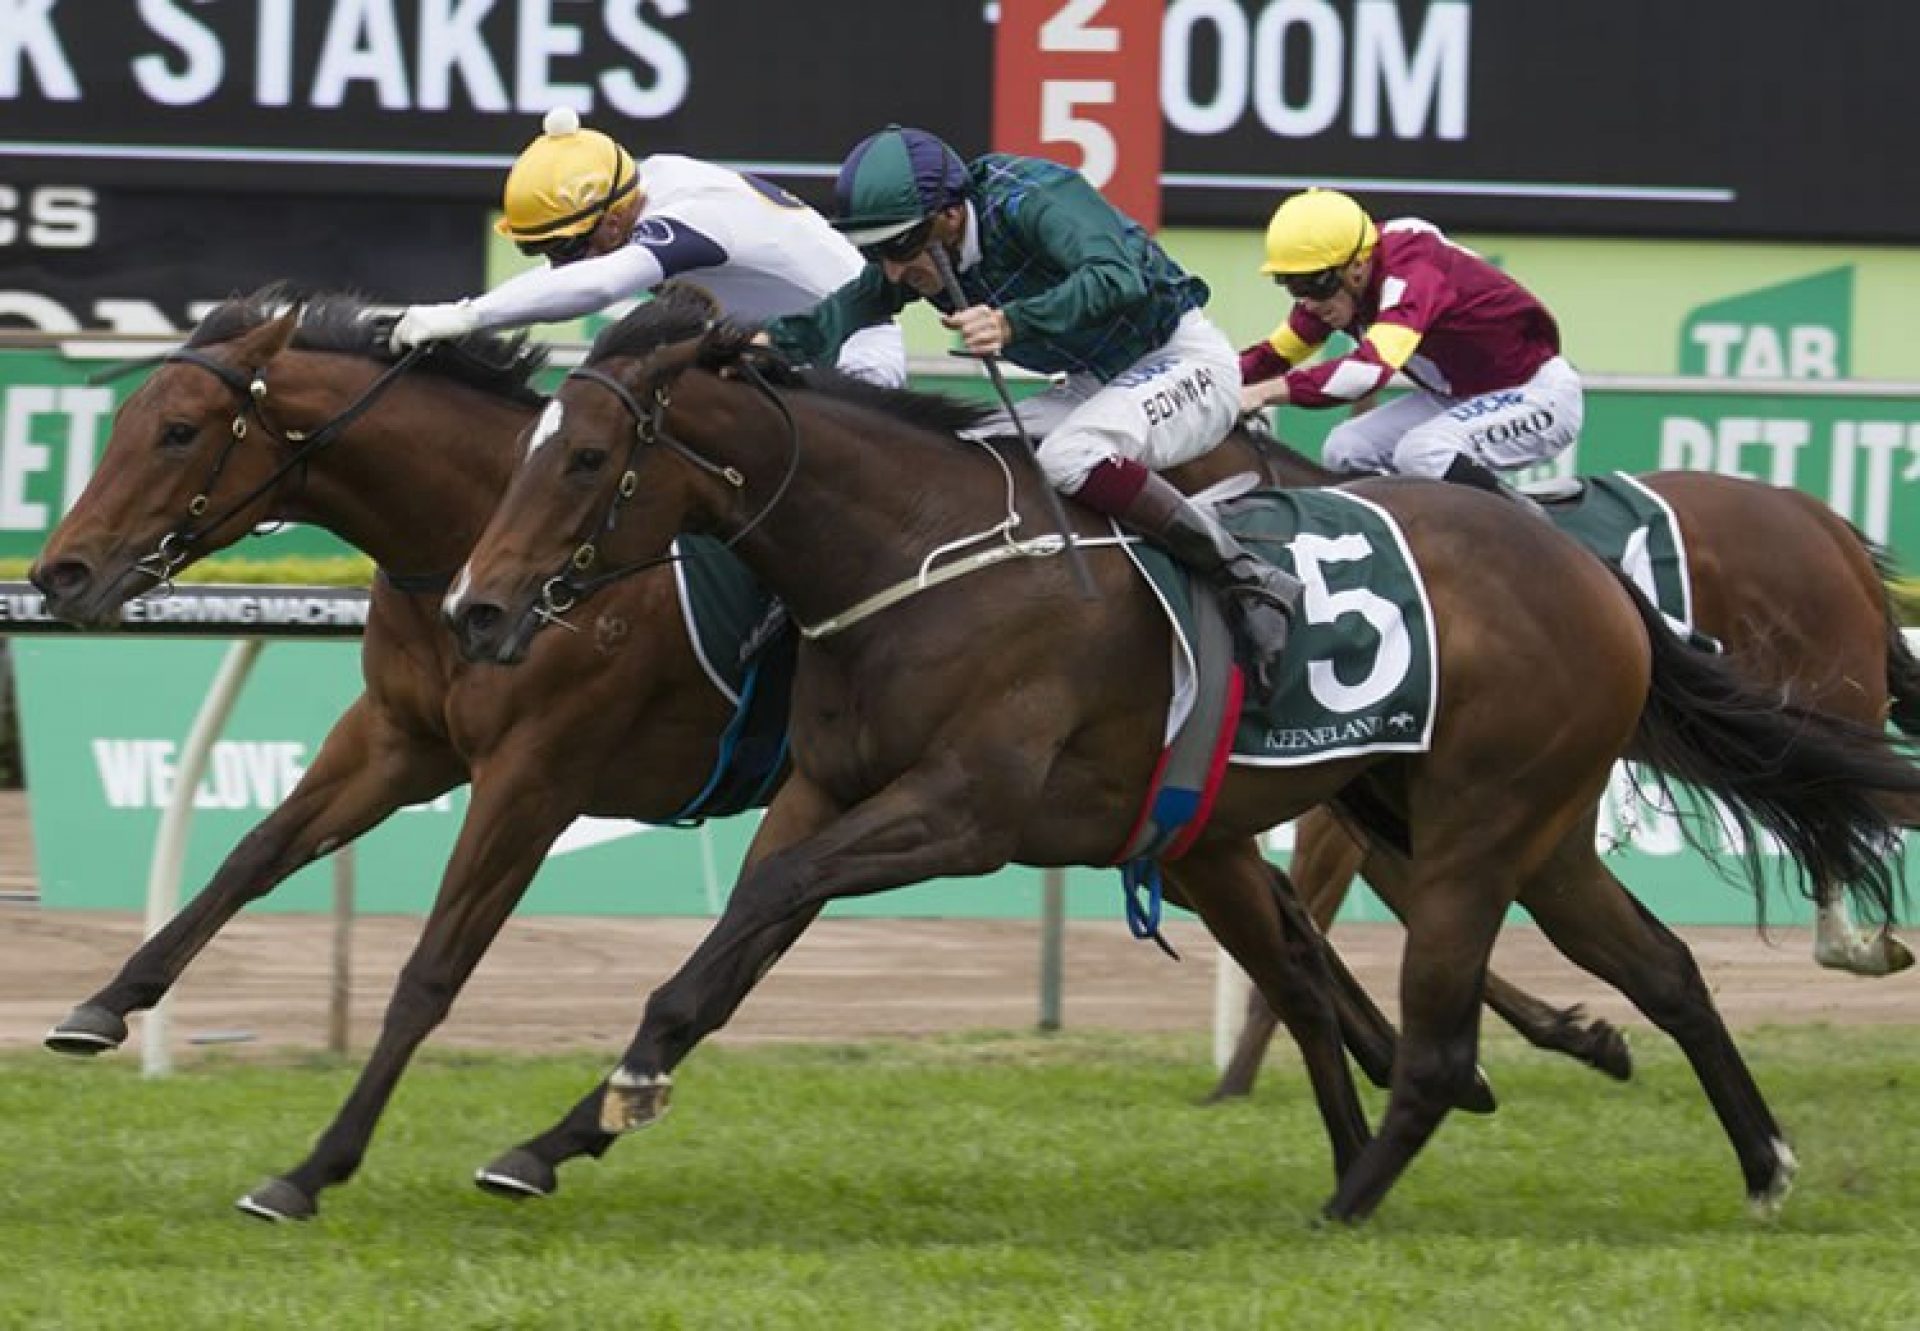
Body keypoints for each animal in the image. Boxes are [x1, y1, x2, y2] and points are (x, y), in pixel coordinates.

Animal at [26, 286, 1382, 1221]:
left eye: (179, 428)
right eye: (127, 419)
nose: (59, 574)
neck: (472, 532)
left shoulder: (537, 772)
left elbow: (432, 969)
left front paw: (312, 1166)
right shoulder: (402, 739)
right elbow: (250, 856)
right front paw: (101, 1005)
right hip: (1176, 819)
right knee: (1292, 938)